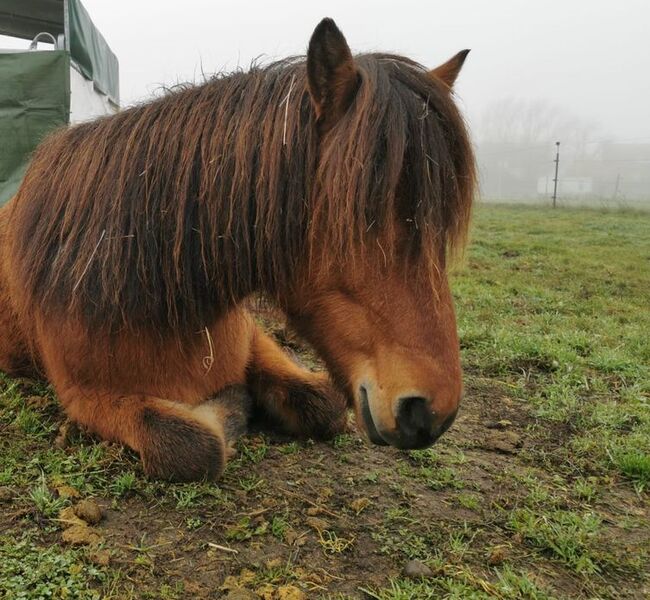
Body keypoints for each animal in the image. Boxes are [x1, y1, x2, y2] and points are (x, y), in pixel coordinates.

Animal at [0, 18, 475, 481]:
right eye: (359, 216)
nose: (431, 413)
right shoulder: (84, 395)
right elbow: (193, 446)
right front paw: (234, 403)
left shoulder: (253, 337)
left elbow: (323, 404)